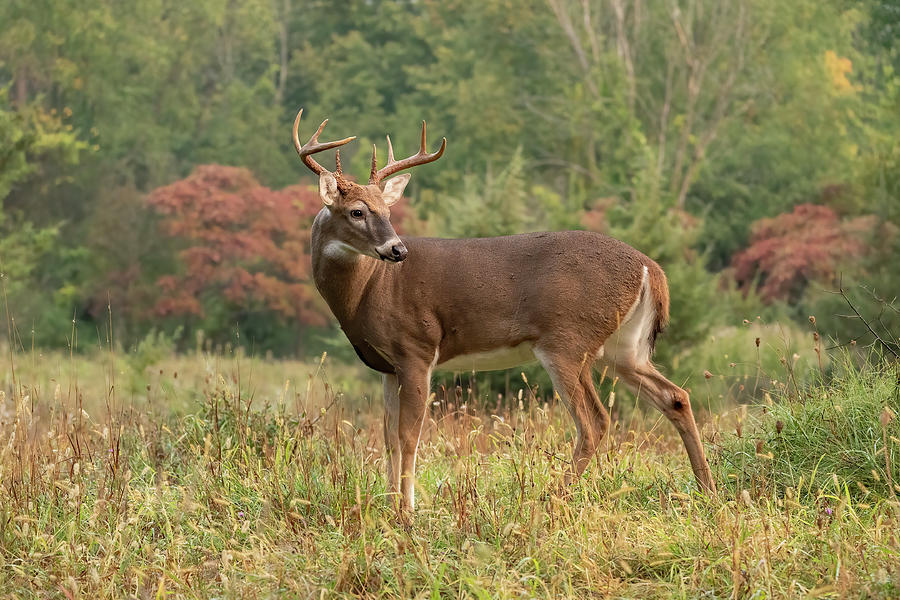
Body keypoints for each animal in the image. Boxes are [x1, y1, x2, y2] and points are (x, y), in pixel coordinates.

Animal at [294, 108, 716, 510]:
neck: (370, 291)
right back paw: (706, 490)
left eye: (387, 210)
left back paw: (549, 500)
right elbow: (388, 438)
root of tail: (651, 269)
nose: (398, 249)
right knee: (675, 396)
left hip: (568, 341)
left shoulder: (416, 347)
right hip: (623, 348)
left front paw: (407, 513)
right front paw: (387, 506)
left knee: (595, 421)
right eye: (357, 212)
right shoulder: (386, 365)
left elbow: (409, 435)